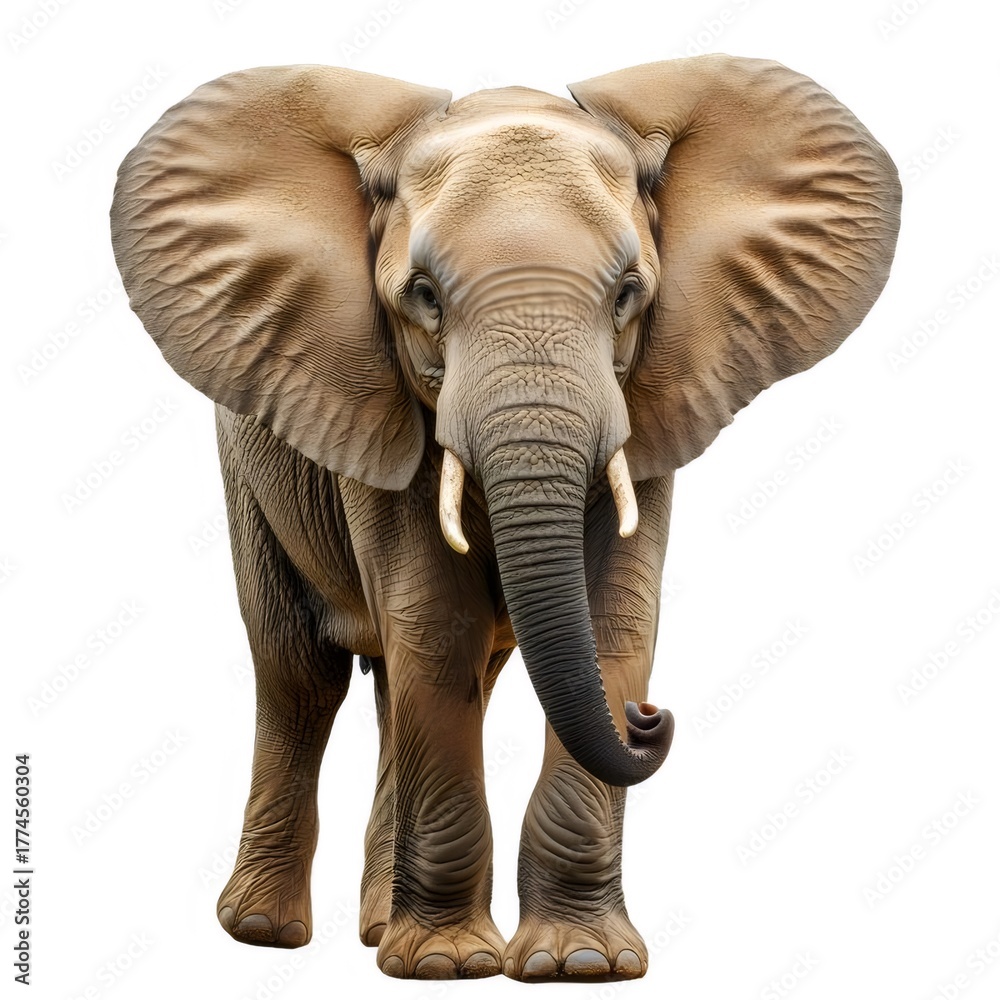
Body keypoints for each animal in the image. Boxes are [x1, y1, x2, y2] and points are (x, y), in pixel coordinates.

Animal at [110, 54, 901, 982]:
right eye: (422, 295)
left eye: (628, 293)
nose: (650, 719)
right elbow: (434, 622)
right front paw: (446, 967)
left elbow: (611, 617)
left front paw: (579, 963)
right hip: (249, 469)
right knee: (299, 672)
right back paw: (266, 932)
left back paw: (374, 927)